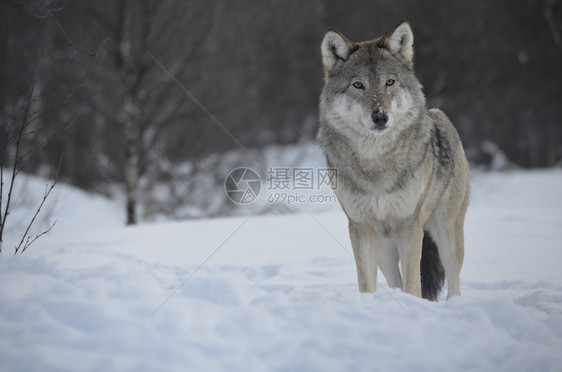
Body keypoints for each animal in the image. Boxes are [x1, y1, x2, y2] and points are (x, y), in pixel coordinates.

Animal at [316, 19, 468, 300]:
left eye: (389, 82)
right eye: (358, 85)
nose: (380, 116)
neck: (376, 163)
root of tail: (439, 115)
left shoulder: (409, 223)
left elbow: (413, 283)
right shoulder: (361, 226)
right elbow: (366, 283)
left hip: (447, 233)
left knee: (454, 282)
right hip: (384, 249)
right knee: (395, 280)